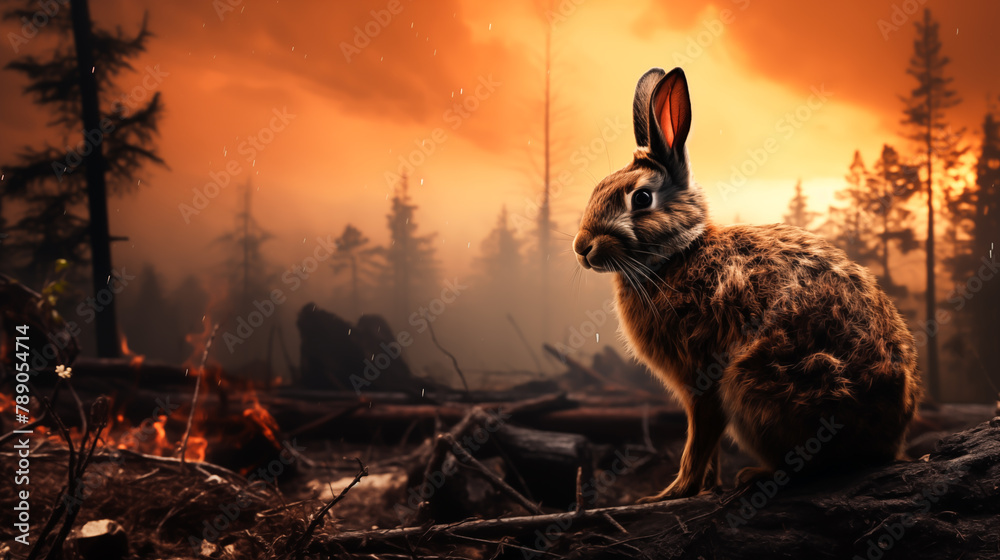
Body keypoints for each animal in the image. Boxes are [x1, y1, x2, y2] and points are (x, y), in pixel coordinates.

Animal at [573, 67, 923, 503]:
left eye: (640, 198)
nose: (581, 247)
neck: (678, 254)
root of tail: (889, 441)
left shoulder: (702, 378)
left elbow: (699, 438)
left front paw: (673, 492)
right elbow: (709, 445)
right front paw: (706, 486)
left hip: (758, 384)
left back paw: (756, 474)